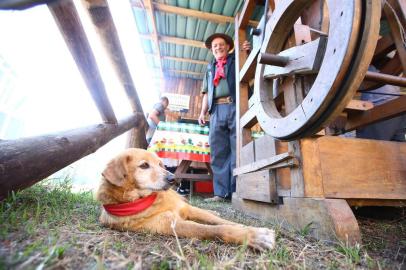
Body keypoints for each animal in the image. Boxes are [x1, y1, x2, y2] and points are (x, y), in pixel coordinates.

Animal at [96, 149, 276, 250]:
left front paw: (245, 226)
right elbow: (215, 229)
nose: (173, 178)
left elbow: (222, 222)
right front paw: (253, 235)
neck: (151, 201)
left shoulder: (186, 209)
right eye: (144, 166)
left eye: (160, 164)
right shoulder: (172, 225)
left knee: (204, 211)